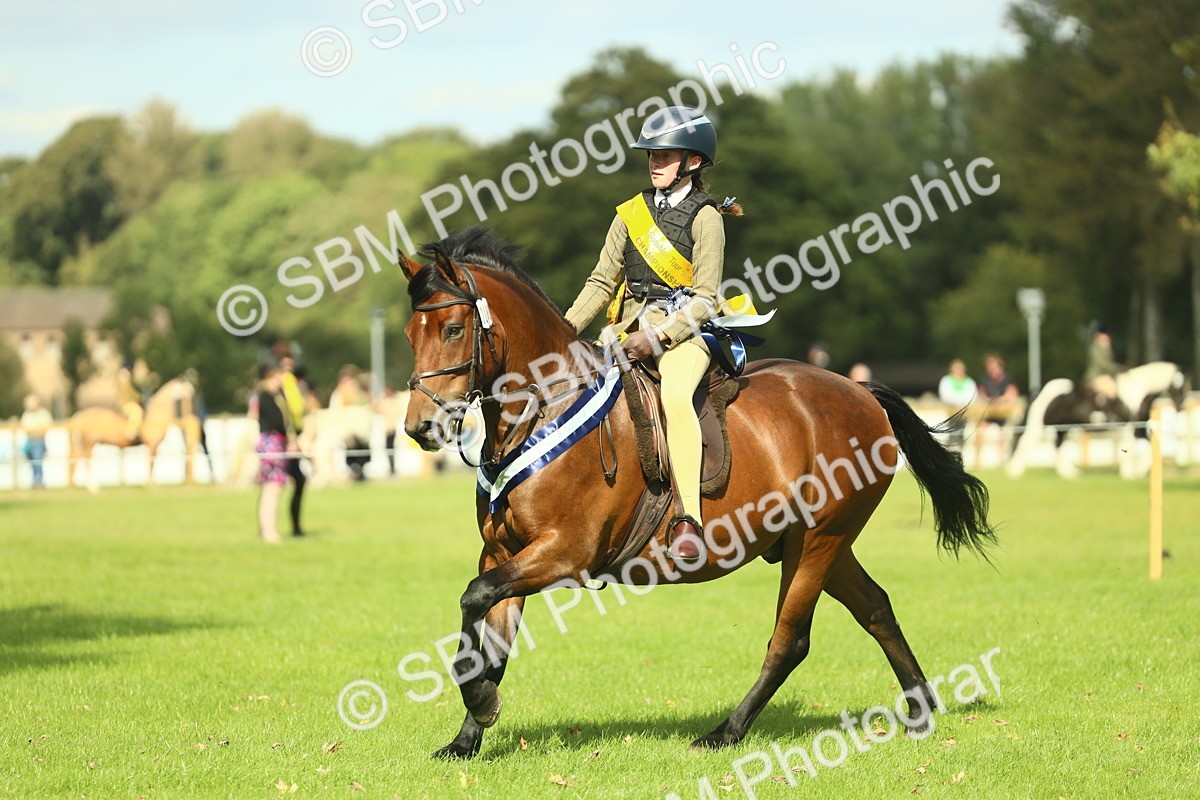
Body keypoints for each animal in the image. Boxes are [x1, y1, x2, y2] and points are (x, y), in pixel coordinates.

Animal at [68, 376, 204, 490]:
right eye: (187, 397)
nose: (190, 413)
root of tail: (78, 415)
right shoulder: (152, 444)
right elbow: (151, 462)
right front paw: (150, 484)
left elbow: (151, 462)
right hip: (88, 443)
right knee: (86, 460)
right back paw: (93, 486)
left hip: (85, 443)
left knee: (77, 458)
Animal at [399, 228, 995, 760]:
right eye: (409, 334)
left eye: (453, 328)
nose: (419, 427)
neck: (542, 411)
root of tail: (859, 392)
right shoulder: (504, 551)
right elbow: (488, 637)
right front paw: (467, 737)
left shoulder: (566, 553)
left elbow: (474, 599)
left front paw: (481, 704)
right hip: (820, 543)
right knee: (875, 608)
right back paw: (920, 711)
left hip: (818, 541)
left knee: (790, 640)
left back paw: (725, 732)